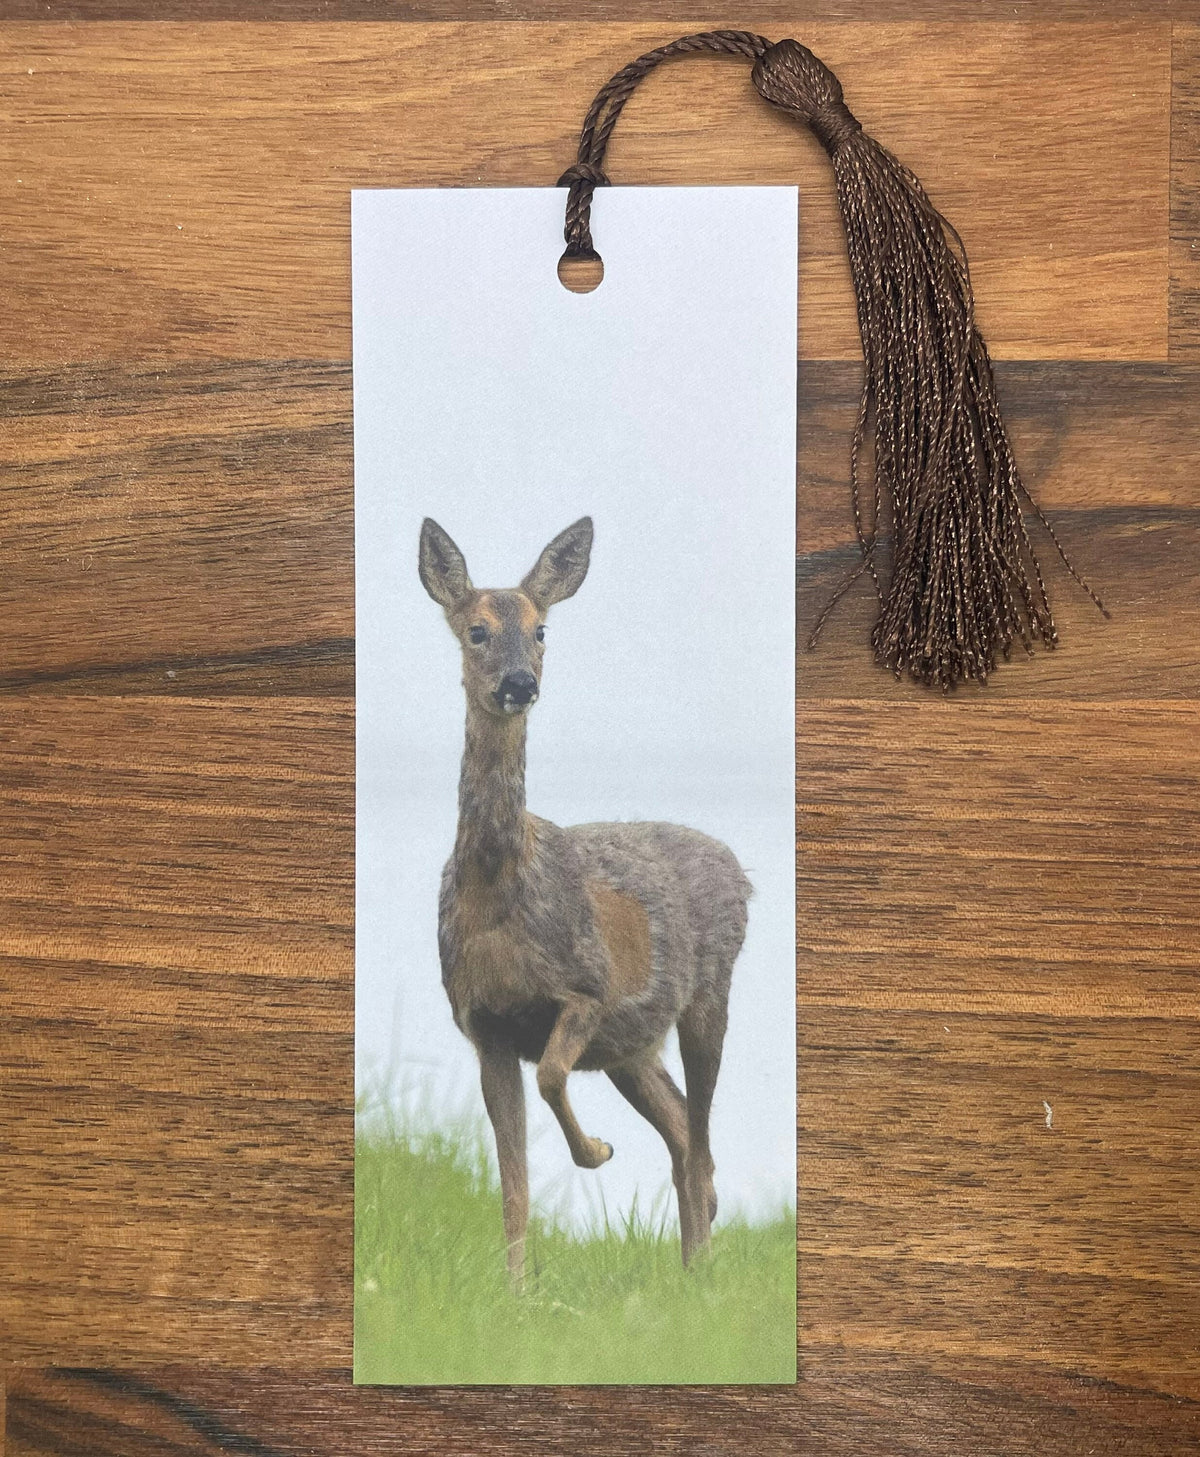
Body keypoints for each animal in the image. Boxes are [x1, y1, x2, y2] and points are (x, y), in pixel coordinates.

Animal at [418, 515, 751, 1286]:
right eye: (476, 630)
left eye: (542, 628)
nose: (520, 682)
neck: (499, 894)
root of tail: (740, 867)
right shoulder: (482, 1023)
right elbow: (510, 1176)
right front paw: (516, 1289)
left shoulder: (588, 989)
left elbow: (549, 1076)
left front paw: (595, 1151)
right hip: (633, 1048)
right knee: (684, 1130)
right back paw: (691, 1266)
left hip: (707, 996)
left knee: (701, 1133)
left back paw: (703, 1274)